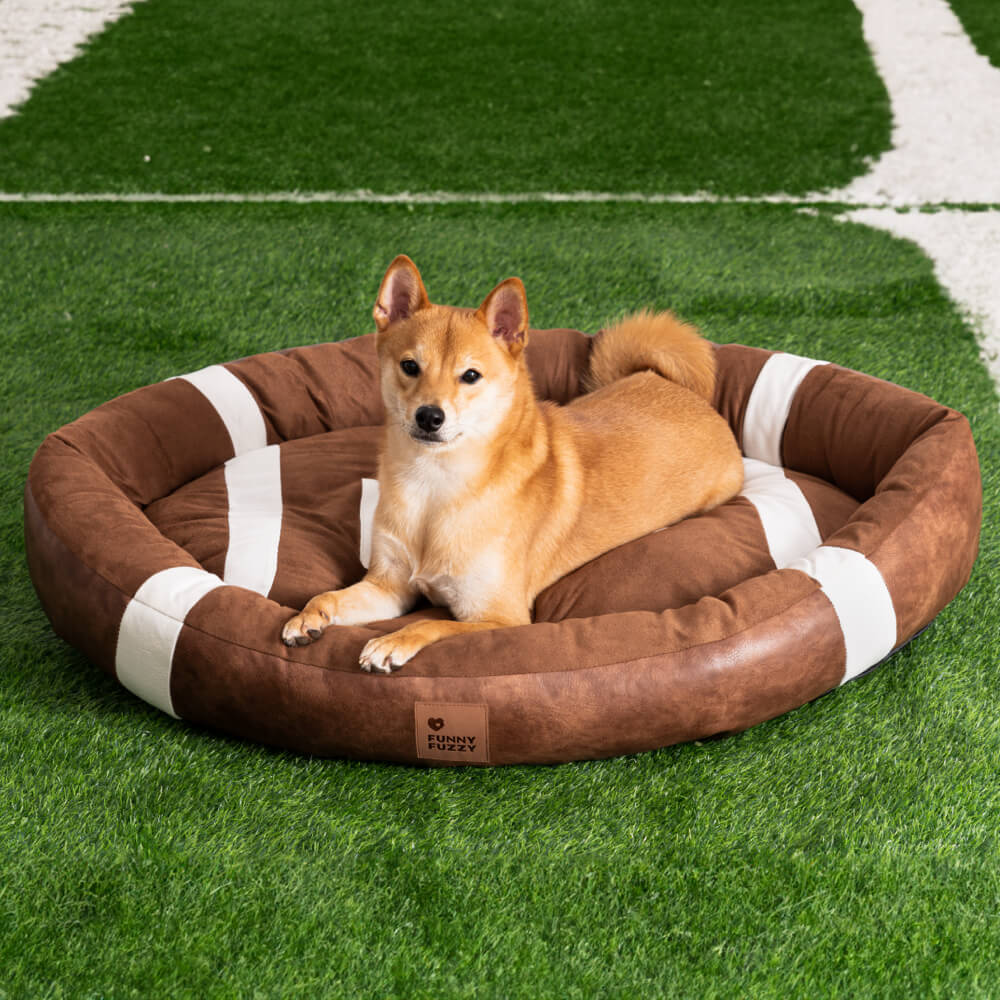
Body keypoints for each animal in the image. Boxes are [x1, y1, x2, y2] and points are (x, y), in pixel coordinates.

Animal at [282, 254, 744, 668]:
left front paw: (390, 642)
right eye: (410, 366)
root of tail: (675, 387)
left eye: (471, 375)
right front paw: (308, 616)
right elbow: (329, 595)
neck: (435, 486)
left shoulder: (500, 617)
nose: (430, 416)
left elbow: (431, 625)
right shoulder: (388, 586)